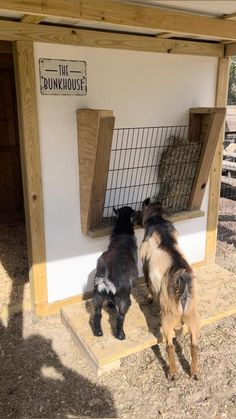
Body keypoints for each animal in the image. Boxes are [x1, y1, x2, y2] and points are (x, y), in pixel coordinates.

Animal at [92, 207, 138, 342]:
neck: (123, 233)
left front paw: (111, 304)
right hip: (123, 299)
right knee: (120, 317)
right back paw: (120, 335)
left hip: (98, 293)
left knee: (97, 313)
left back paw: (98, 332)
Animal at [139, 199, 200, 380]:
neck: (157, 220)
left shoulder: (145, 264)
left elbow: (147, 281)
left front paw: (148, 298)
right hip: (194, 317)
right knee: (194, 345)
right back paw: (194, 372)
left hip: (167, 318)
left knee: (169, 345)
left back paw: (172, 373)